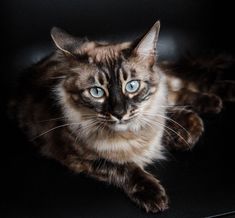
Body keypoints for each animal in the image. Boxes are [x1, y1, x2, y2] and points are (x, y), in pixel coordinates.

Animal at [9, 20, 235, 213]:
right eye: (96, 92)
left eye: (132, 86)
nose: (119, 113)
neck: (132, 134)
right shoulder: (79, 157)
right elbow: (125, 168)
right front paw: (153, 195)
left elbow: (181, 121)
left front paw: (179, 135)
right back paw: (213, 102)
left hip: (172, 84)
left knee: (185, 84)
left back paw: (222, 95)